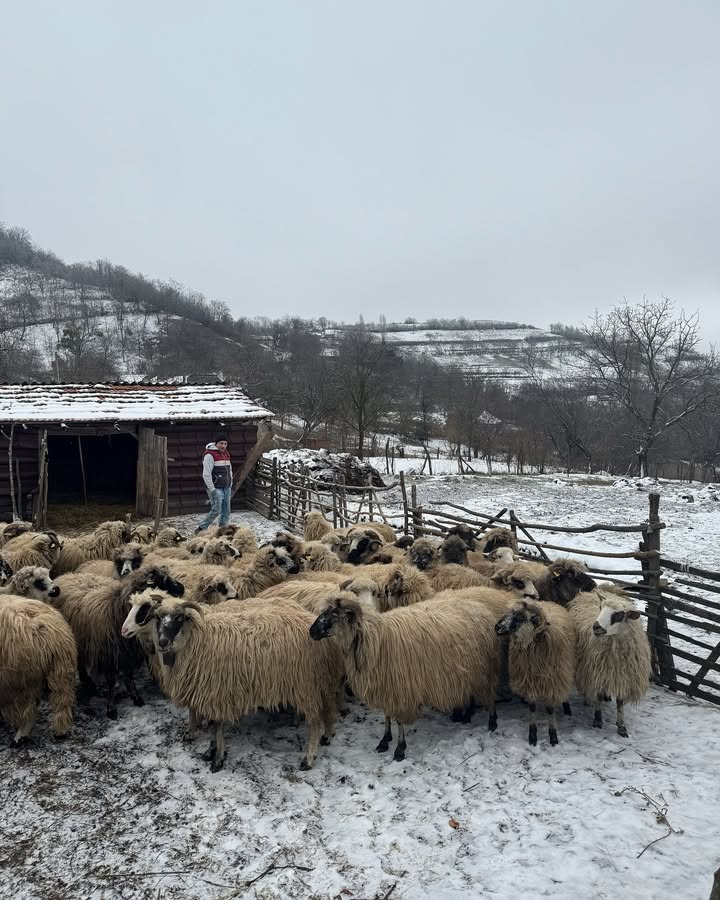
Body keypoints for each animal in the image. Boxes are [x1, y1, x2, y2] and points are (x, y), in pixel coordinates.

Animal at [310, 596, 500, 764]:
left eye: (334, 616)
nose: (311, 632)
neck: (374, 639)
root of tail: (482, 607)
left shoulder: (400, 689)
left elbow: (399, 720)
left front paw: (399, 749)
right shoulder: (385, 686)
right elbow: (387, 714)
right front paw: (385, 739)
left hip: (487, 669)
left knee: (491, 694)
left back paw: (492, 722)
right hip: (471, 671)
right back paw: (467, 714)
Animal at [496, 596, 572, 744]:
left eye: (520, 617)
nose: (496, 627)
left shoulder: (551, 683)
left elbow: (550, 709)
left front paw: (553, 736)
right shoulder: (529, 682)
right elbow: (532, 708)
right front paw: (532, 736)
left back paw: (567, 708)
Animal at [568, 584, 652, 740]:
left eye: (619, 615)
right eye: (600, 608)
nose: (596, 627)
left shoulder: (623, 678)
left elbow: (620, 702)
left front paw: (622, 726)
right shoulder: (598, 673)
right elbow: (599, 696)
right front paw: (597, 720)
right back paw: (588, 699)